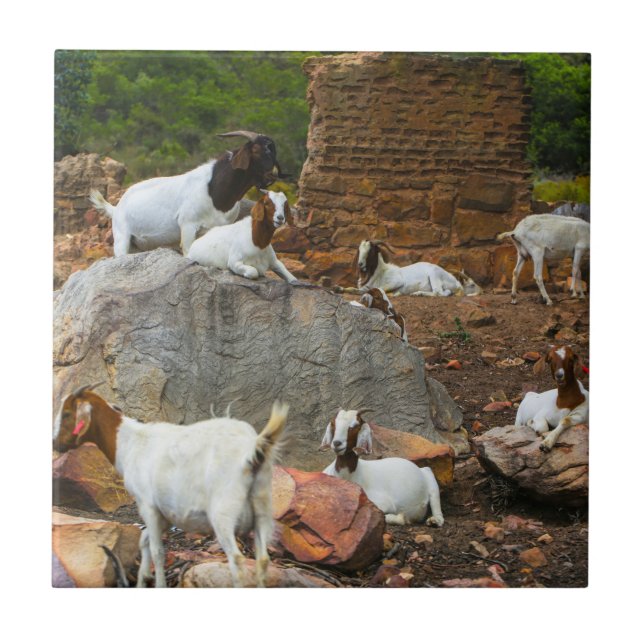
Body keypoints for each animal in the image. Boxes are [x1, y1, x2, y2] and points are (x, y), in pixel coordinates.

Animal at [53, 384, 289, 587]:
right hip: (262, 510)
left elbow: (158, 551)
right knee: (263, 560)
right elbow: (144, 540)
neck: (130, 443)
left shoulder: (147, 504)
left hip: (224, 514)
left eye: (66, 414)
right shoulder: (165, 513)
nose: (55, 443)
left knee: (237, 560)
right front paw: (143, 579)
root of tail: (253, 451)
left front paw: (157, 584)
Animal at [89, 131, 288, 256]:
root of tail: (116, 208)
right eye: (256, 150)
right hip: (122, 237)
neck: (214, 190)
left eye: (273, 150)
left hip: (137, 245)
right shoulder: (188, 225)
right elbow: (187, 252)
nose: (273, 175)